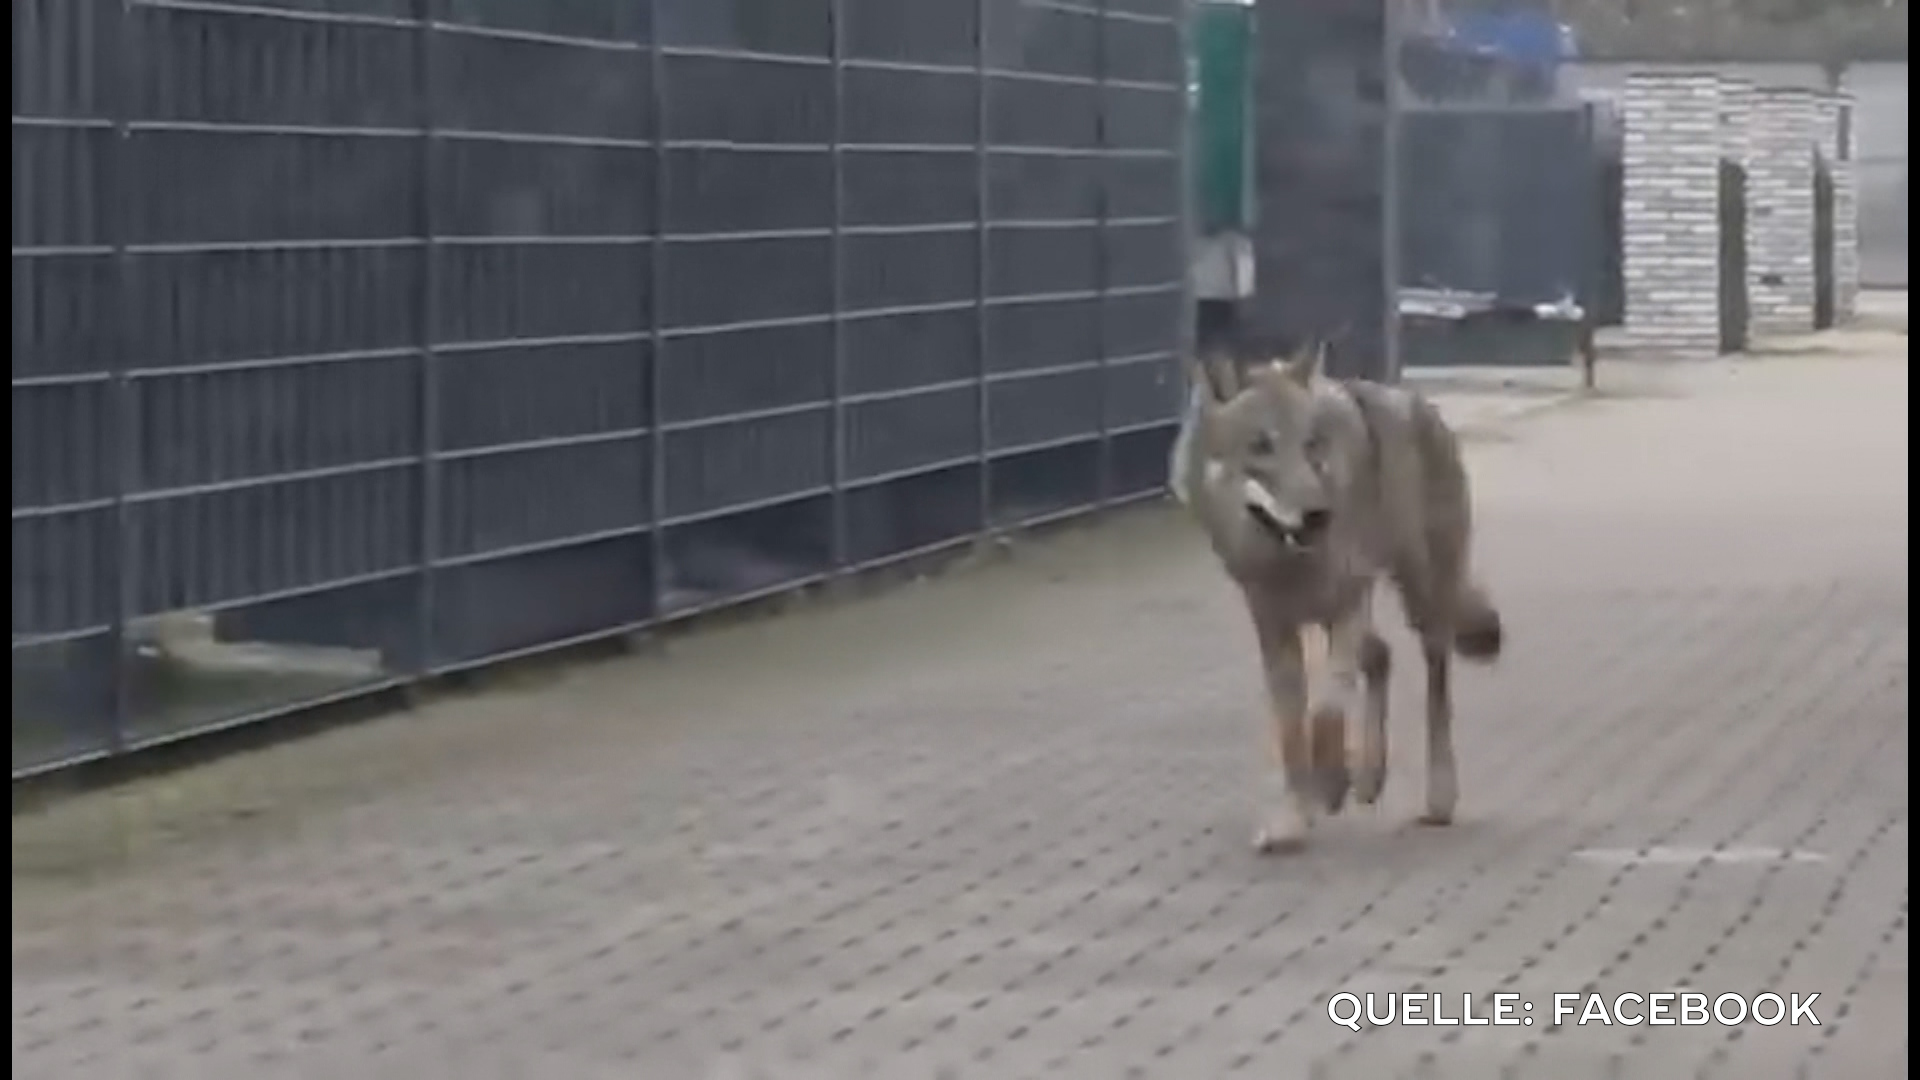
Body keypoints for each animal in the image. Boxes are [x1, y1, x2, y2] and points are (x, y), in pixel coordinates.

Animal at [1168, 340, 1504, 853]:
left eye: (1312, 445)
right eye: (1260, 445)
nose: (1318, 515)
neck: (1284, 564)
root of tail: (1426, 408)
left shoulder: (1346, 605)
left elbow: (1325, 713)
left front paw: (1328, 783)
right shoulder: (1274, 625)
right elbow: (1292, 729)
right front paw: (1293, 818)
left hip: (1421, 600)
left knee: (1435, 682)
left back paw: (1436, 797)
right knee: (1382, 656)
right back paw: (1369, 777)